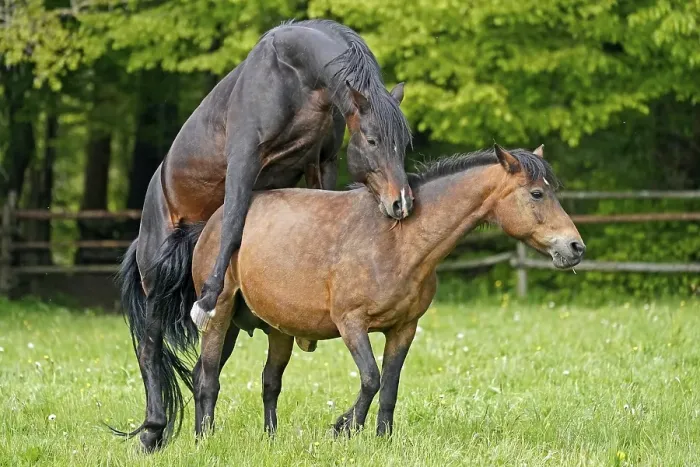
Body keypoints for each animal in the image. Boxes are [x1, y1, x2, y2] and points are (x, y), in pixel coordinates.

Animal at [114, 19, 413, 452]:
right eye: (372, 140)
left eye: (404, 143)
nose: (401, 204)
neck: (296, 74)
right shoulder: (244, 161)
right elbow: (233, 221)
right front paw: (207, 298)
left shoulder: (321, 162)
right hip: (155, 285)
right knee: (150, 351)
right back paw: (153, 431)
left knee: (204, 368)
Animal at [189, 144, 586, 438]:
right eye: (537, 193)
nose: (575, 247)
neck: (398, 242)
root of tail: (215, 222)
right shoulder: (352, 325)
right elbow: (371, 379)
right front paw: (345, 429)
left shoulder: (404, 328)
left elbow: (390, 386)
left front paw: (382, 437)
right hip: (220, 315)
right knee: (208, 378)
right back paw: (203, 437)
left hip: (275, 329)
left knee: (264, 381)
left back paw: (268, 438)